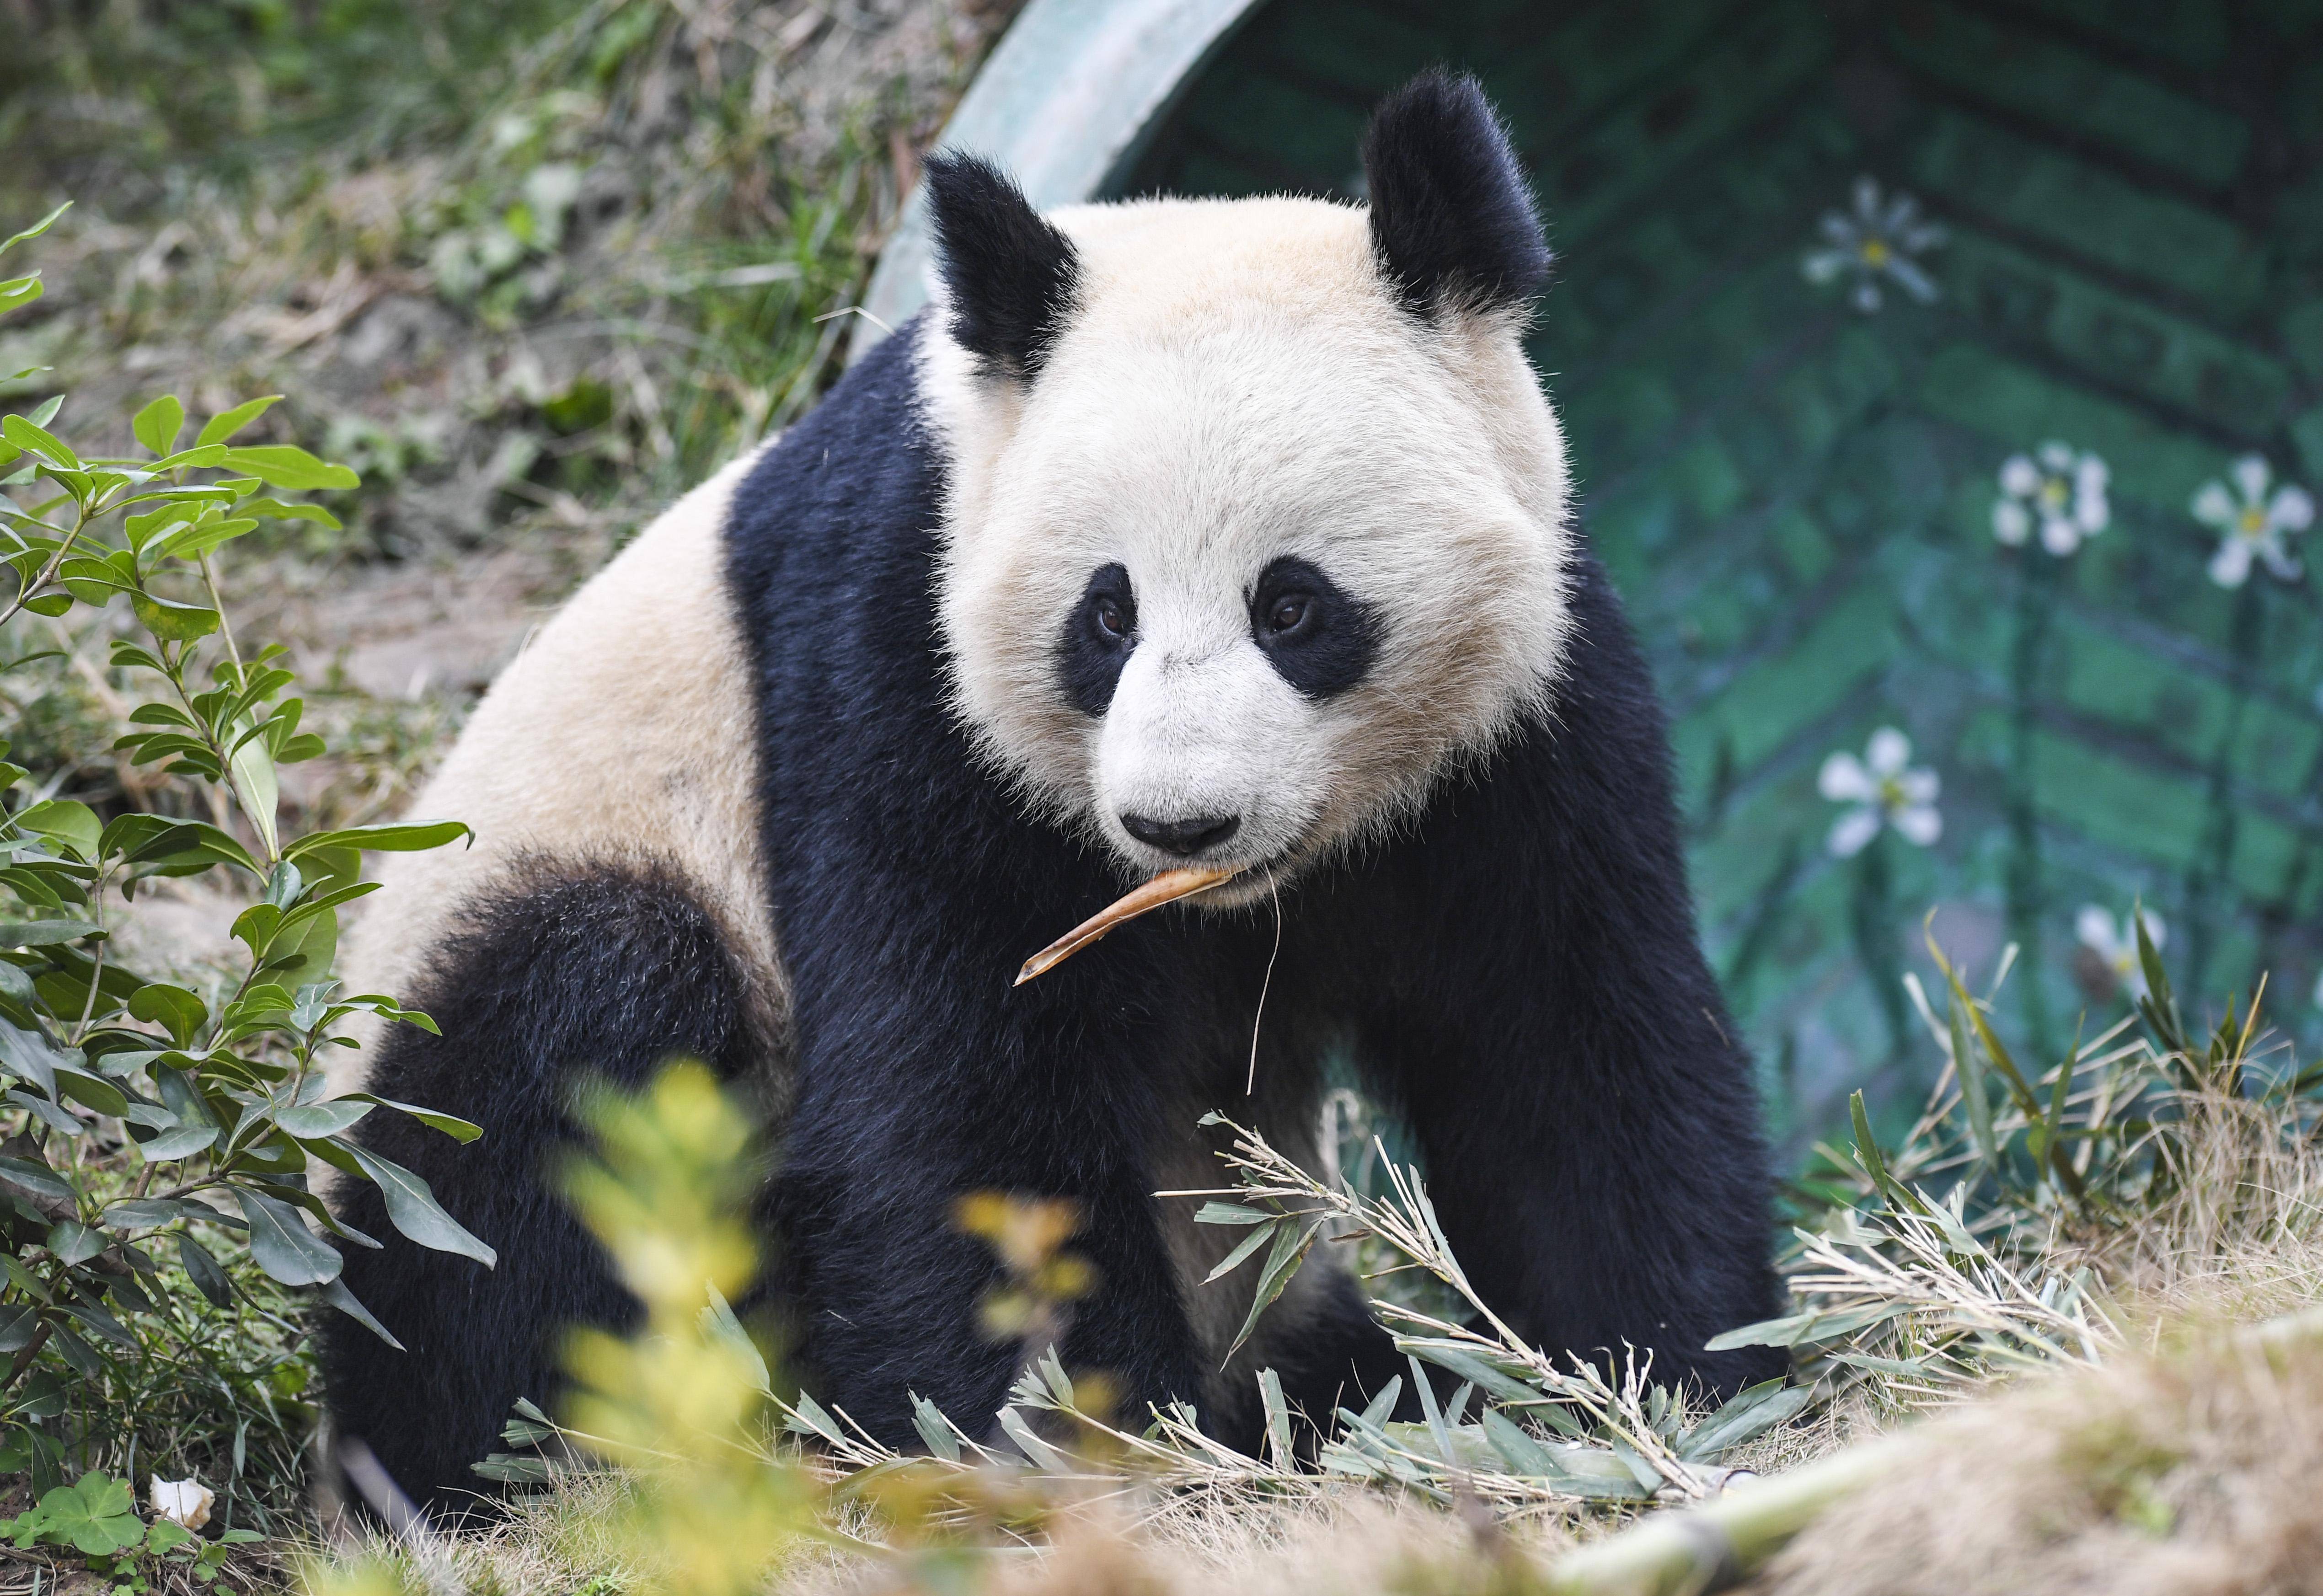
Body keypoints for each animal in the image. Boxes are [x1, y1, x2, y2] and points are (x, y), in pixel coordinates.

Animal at [323, 68, 1775, 1505]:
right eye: (1107, 614)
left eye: (1292, 604)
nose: (1181, 823)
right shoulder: (899, 675)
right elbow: (958, 1104)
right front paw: (1088, 1452)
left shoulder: (1517, 719)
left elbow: (1562, 1038)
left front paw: (1668, 1388)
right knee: (565, 1063)